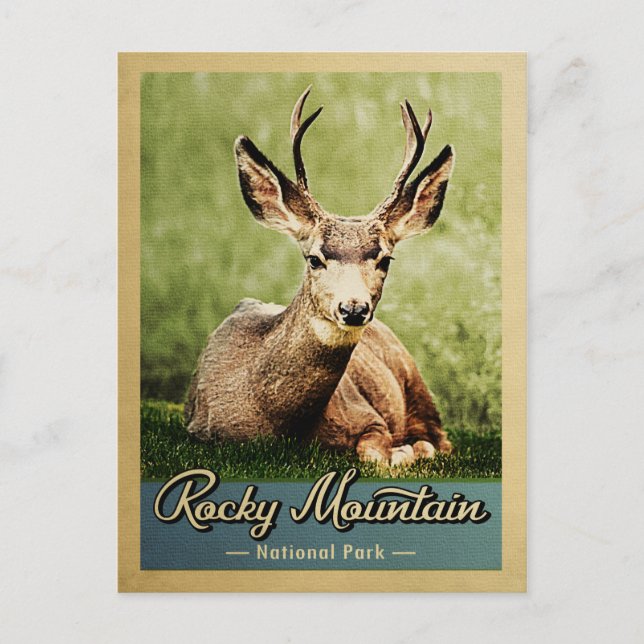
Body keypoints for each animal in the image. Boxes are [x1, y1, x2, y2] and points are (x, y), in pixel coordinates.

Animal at [185, 86, 454, 467]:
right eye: (314, 259)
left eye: (385, 259)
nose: (354, 308)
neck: (279, 425)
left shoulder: (369, 417)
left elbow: (376, 452)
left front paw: (403, 452)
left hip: (415, 382)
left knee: (441, 439)